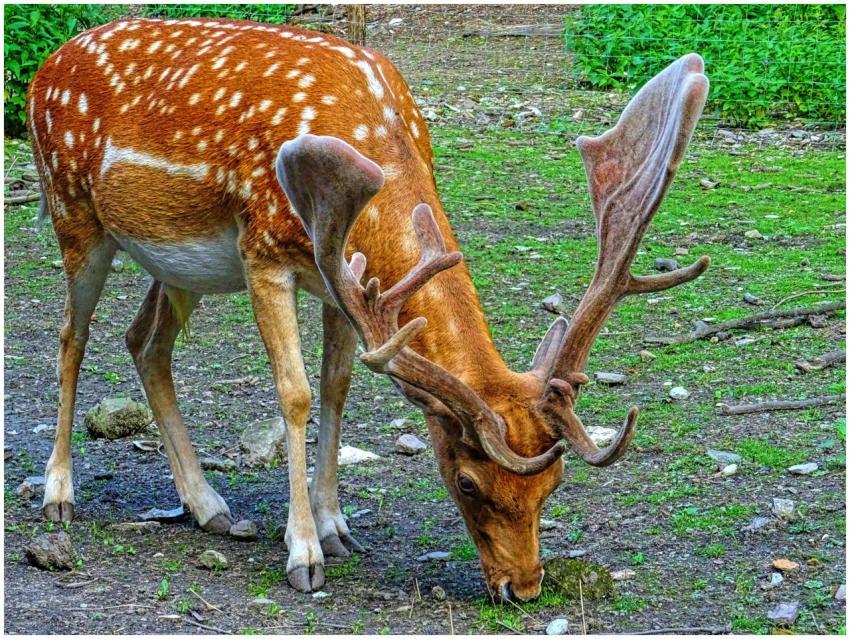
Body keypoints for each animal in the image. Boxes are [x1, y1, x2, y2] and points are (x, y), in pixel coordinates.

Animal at [26, 17, 709, 600]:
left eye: (554, 485)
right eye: (466, 481)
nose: (523, 587)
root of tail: (46, 65)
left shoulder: (343, 283)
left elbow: (337, 385)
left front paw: (335, 527)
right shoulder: (263, 253)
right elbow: (295, 393)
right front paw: (303, 553)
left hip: (176, 265)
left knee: (144, 342)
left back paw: (208, 505)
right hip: (72, 212)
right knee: (70, 337)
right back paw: (59, 495)